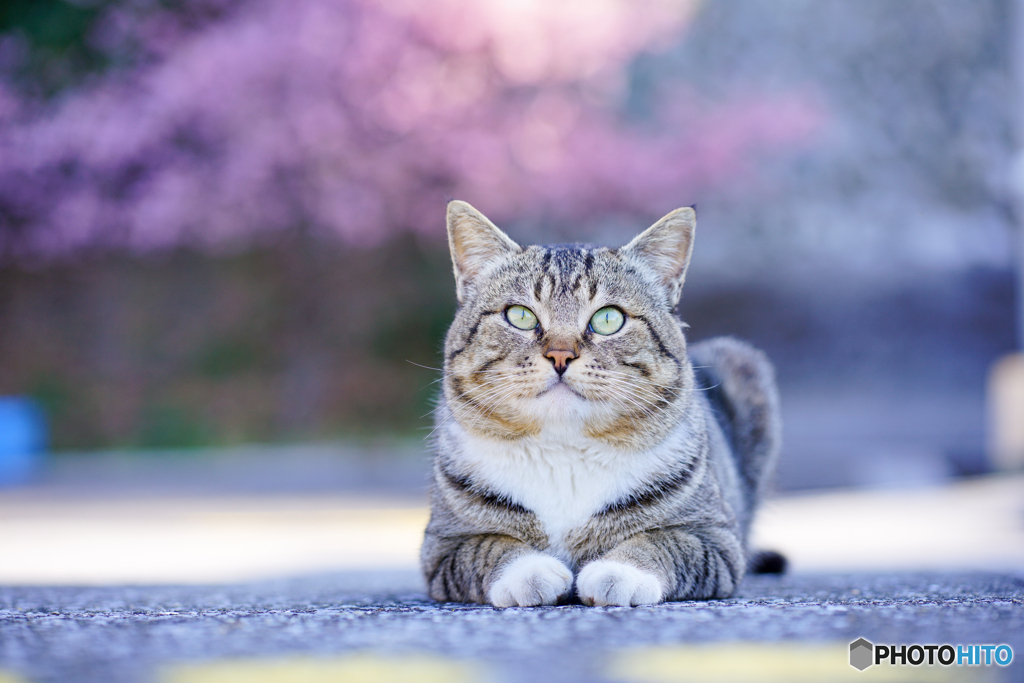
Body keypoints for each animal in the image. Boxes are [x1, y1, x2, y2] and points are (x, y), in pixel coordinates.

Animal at [419, 200, 778, 606]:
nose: (560, 355)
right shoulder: (443, 548)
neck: (563, 452)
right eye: (520, 315)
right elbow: (490, 545)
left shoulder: (715, 540)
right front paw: (529, 573)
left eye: (608, 318)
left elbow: (662, 541)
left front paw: (619, 572)